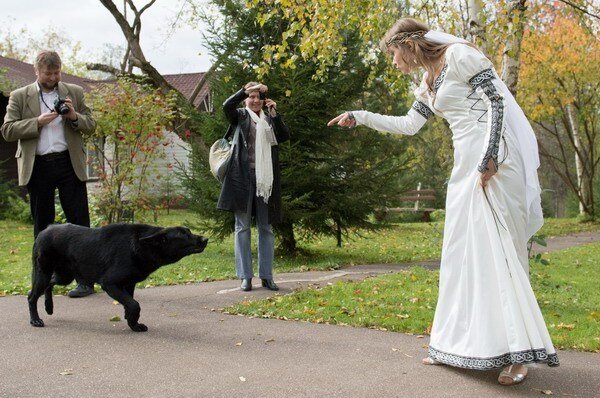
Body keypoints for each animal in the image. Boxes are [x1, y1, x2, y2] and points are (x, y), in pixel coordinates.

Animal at [29, 224, 210, 332]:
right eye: (184, 234)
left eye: (189, 231)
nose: (205, 239)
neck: (139, 246)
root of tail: (43, 231)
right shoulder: (109, 284)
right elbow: (134, 304)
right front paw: (133, 320)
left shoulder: (129, 284)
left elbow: (130, 303)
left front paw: (133, 323)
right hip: (44, 272)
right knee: (31, 296)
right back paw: (35, 320)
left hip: (64, 275)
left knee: (49, 284)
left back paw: (49, 307)